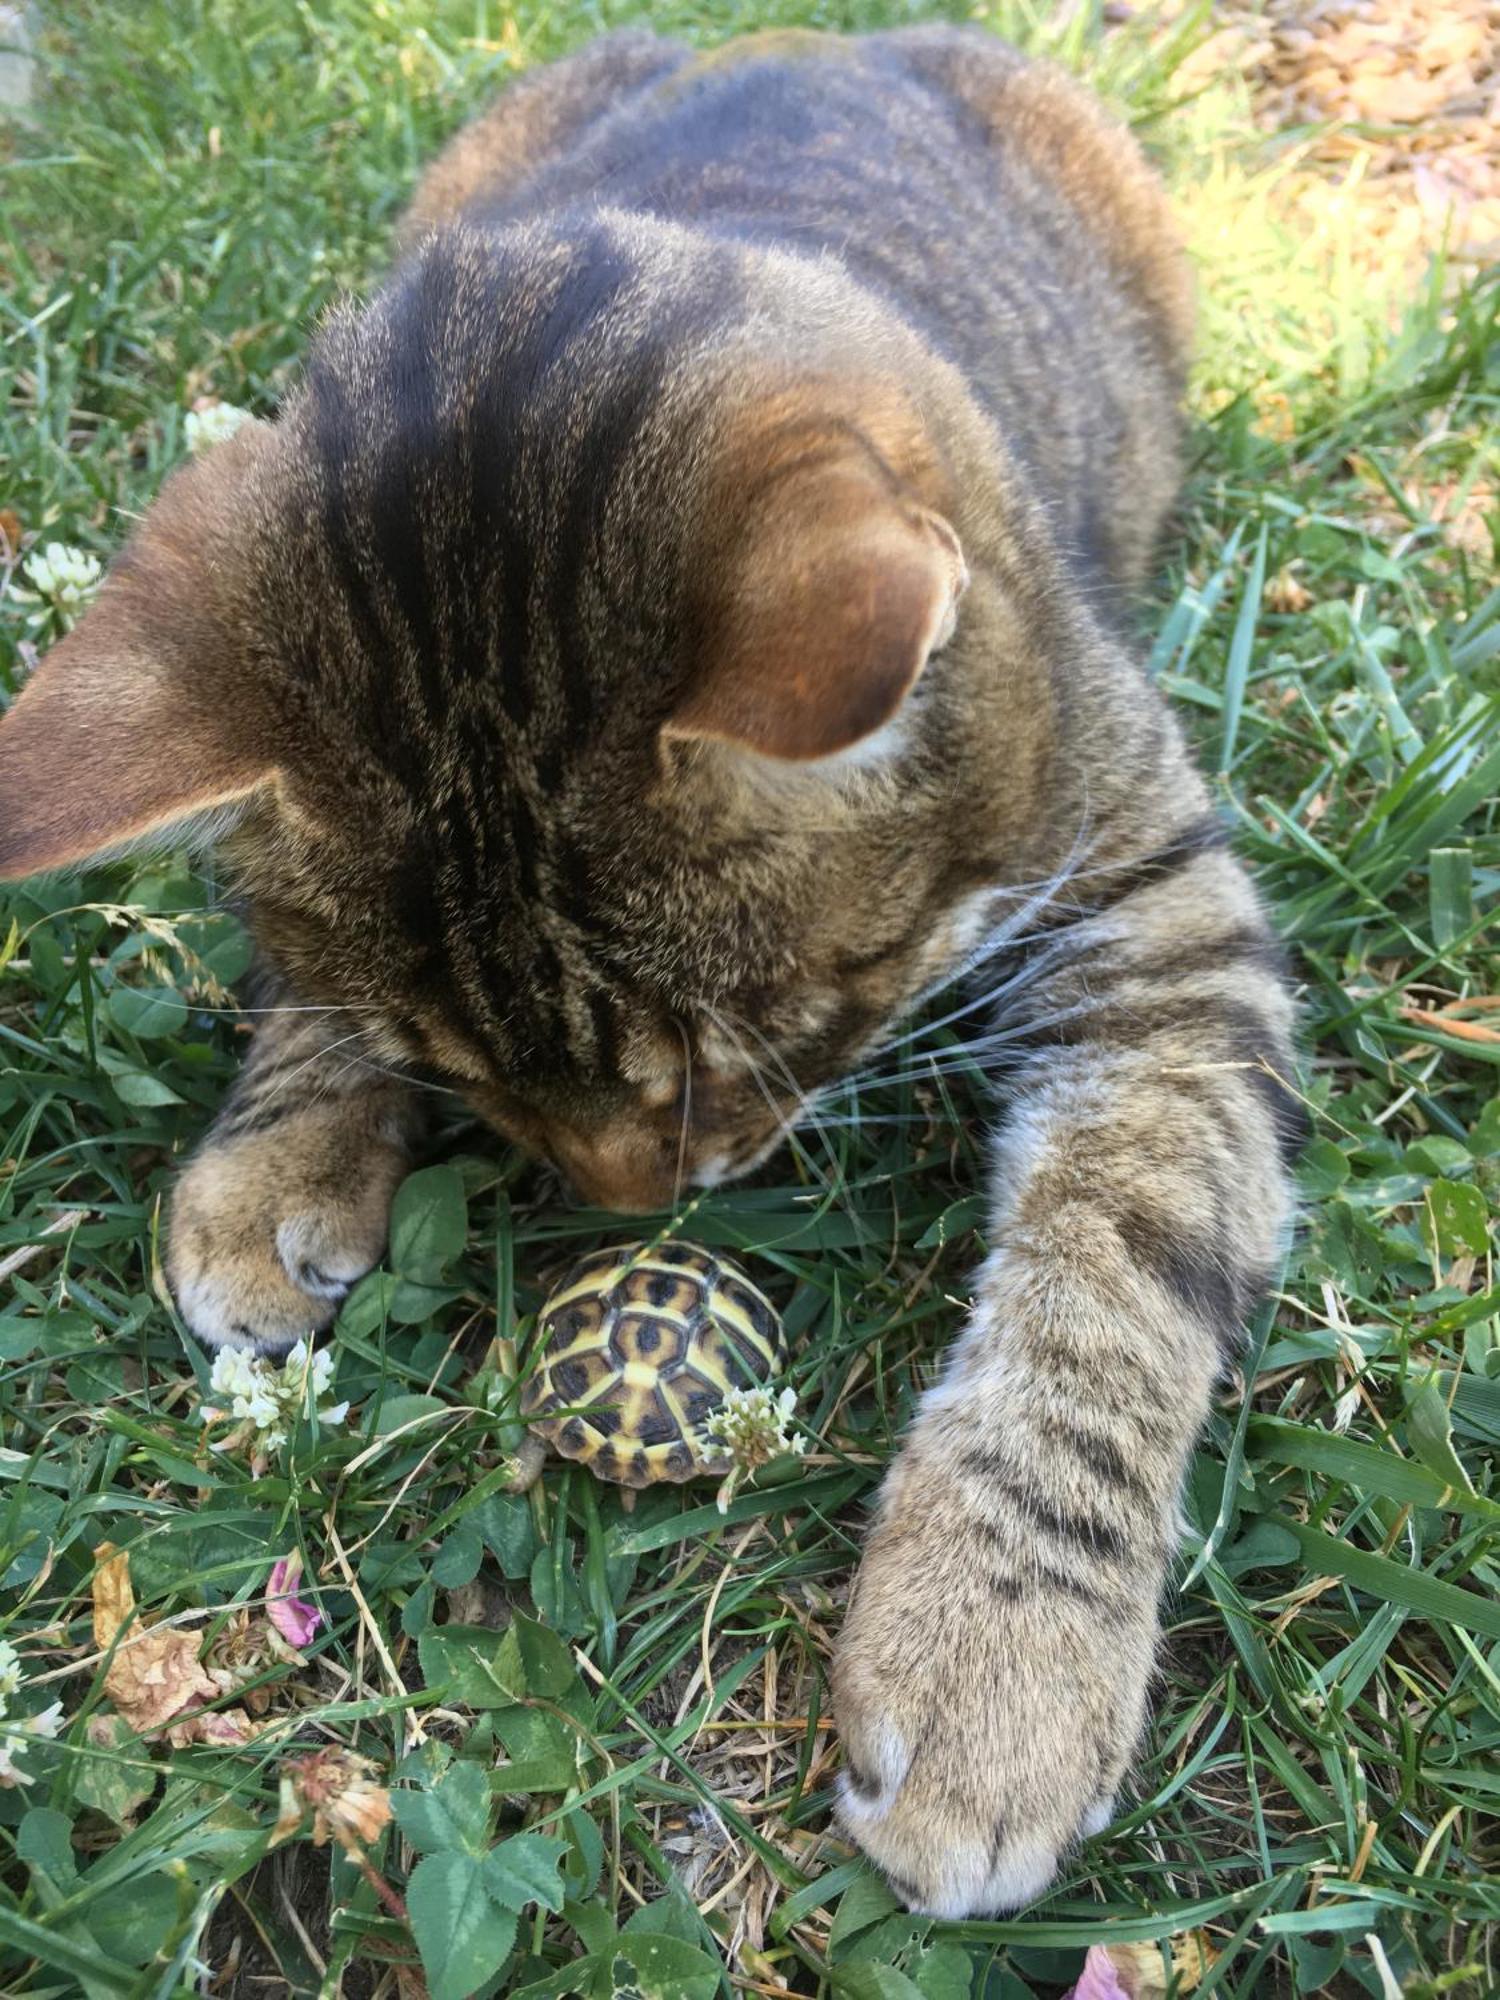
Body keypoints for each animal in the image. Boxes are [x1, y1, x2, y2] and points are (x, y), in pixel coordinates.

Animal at [0, 27, 1304, 1904]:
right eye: (449, 1065)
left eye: (745, 1044)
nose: (629, 1209)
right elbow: (317, 1011)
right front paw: (280, 1151)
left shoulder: (1158, 906)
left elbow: (1117, 1278)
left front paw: (998, 1652)